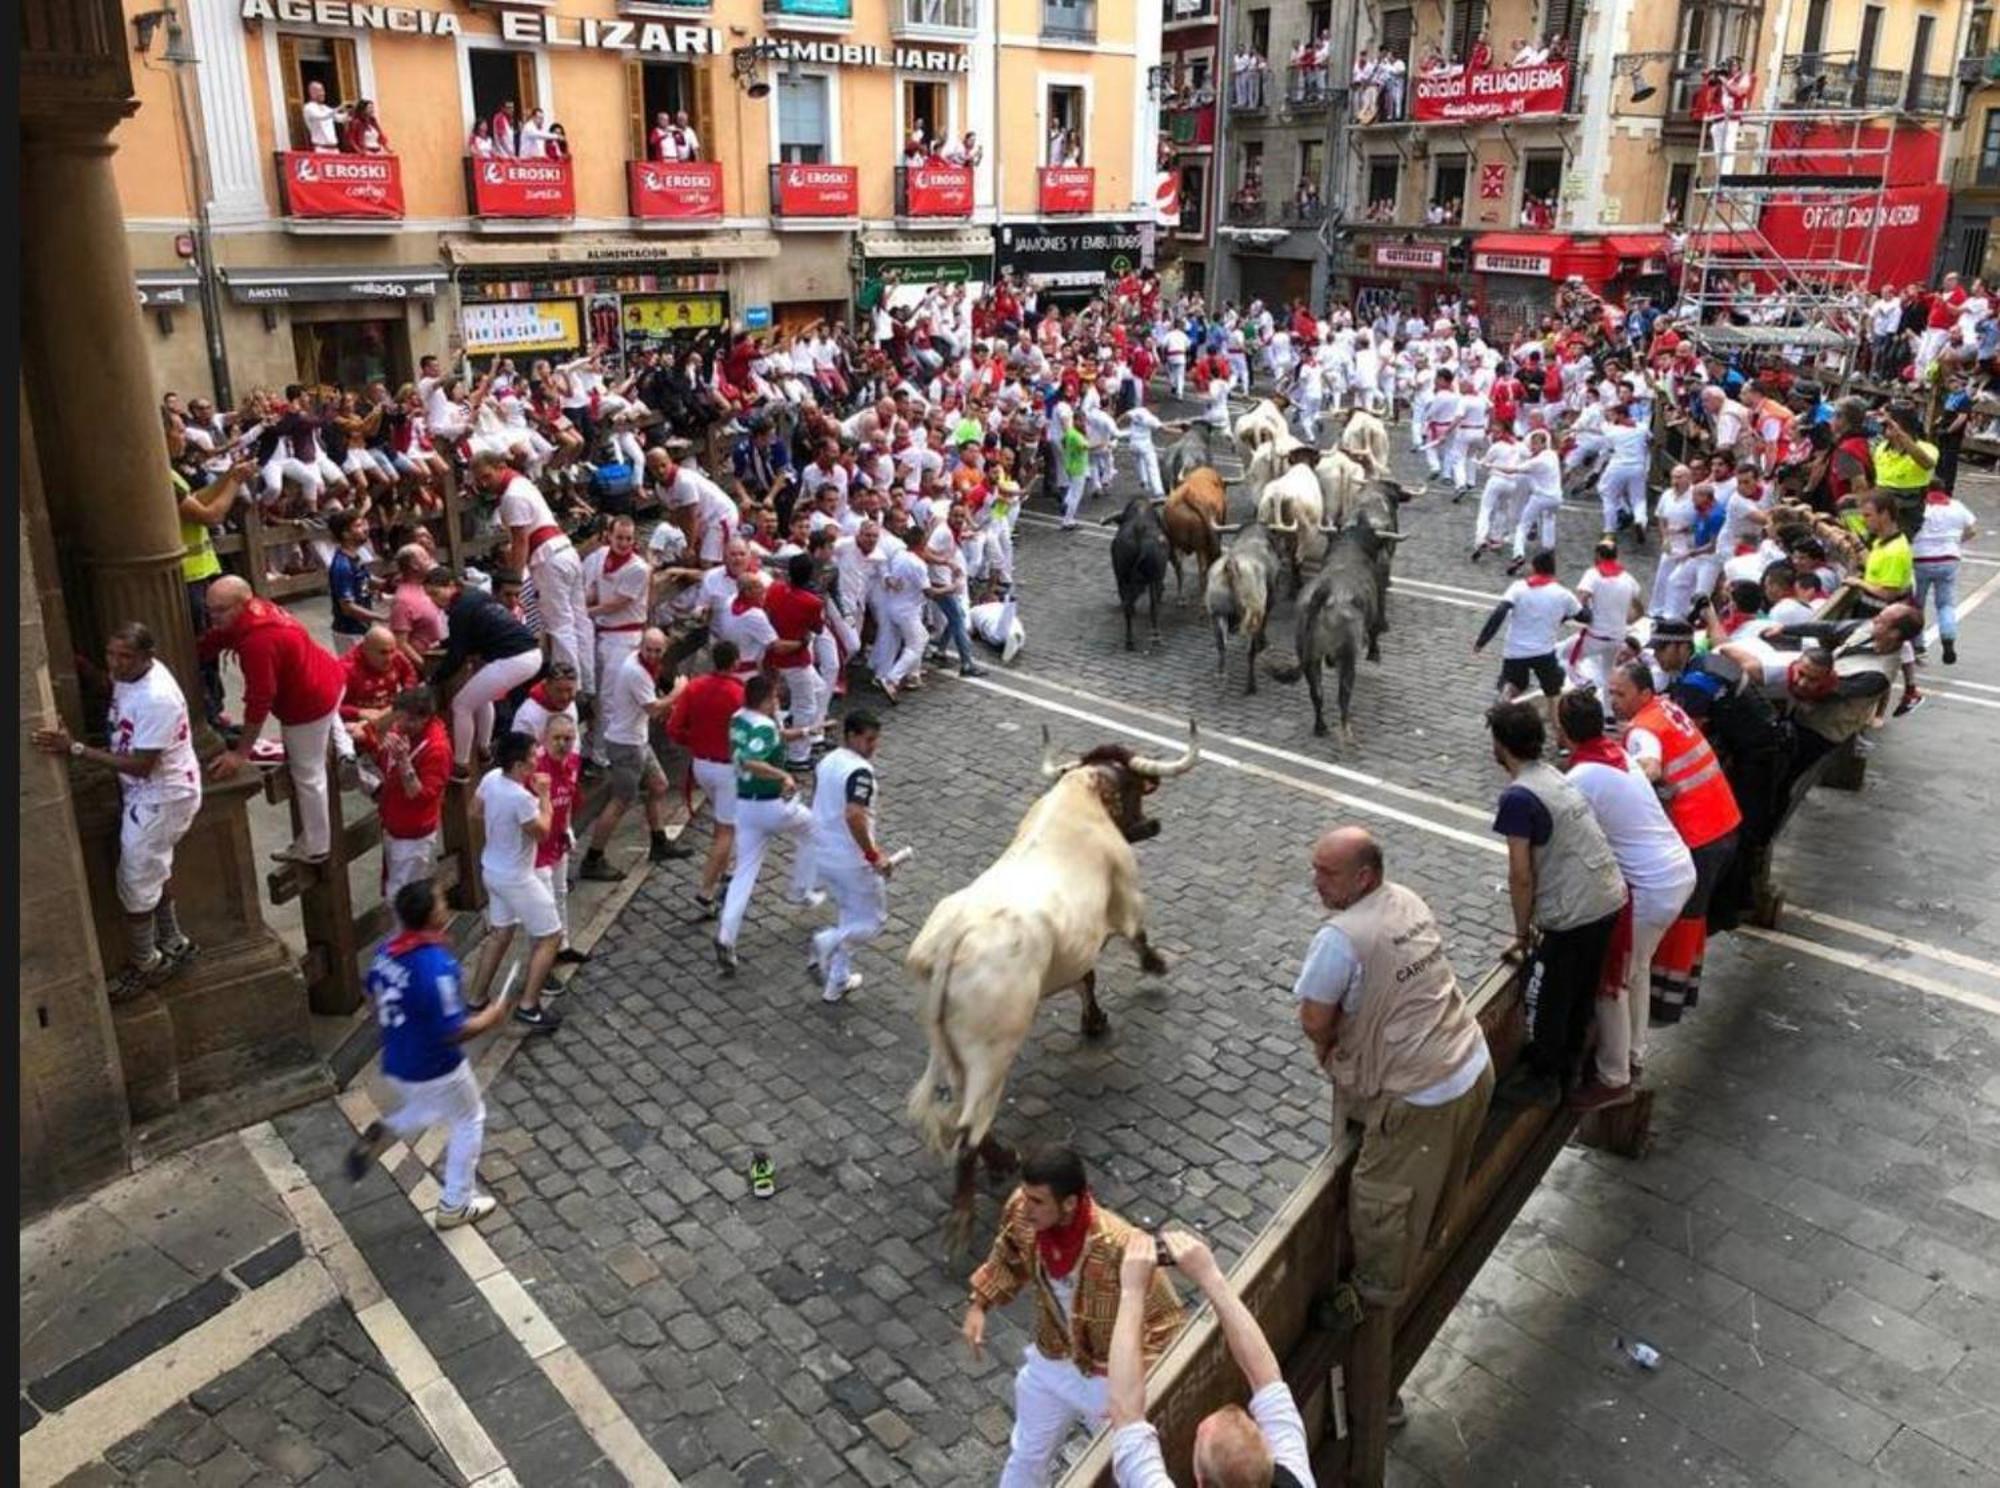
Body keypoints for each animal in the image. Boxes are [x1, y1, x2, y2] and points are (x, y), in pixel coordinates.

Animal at [912, 720, 1200, 1240]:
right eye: (1136, 790)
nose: (1151, 825)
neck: (1081, 798)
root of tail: (953, 943)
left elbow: (1087, 977)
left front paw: (1095, 1020)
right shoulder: (1126, 900)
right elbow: (1136, 938)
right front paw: (1155, 966)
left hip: (948, 1047)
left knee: (963, 1115)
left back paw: (1004, 1159)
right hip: (992, 1052)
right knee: (968, 1129)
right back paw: (969, 1208)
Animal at [1112, 496, 1168, 648]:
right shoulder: (1156, 576)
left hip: (1122, 576)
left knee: (1127, 605)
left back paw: (1129, 641)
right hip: (1153, 576)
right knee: (1153, 607)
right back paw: (1156, 636)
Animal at [1200, 520, 1280, 696]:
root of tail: (1231, 566)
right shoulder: (1269, 599)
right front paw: (1264, 643)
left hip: (1216, 614)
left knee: (1221, 646)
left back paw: (1221, 676)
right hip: (1252, 613)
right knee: (1250, 652)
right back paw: (1251, 686)